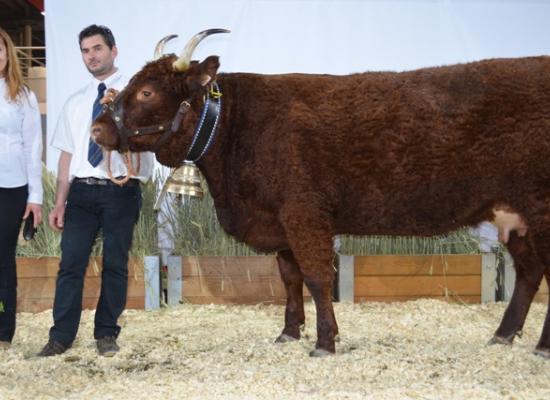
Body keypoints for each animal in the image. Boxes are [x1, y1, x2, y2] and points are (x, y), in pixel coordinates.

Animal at [92, 30, 550, 356]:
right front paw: (289, 333)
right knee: (530, 272)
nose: (97, 129)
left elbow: (316, 277)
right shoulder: (279, 222)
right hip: (515, 216)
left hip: (540, 207)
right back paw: (503, 336)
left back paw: (540, 347)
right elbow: (289, 279)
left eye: (148, 91)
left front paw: (325, 342)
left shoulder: (304, 213)